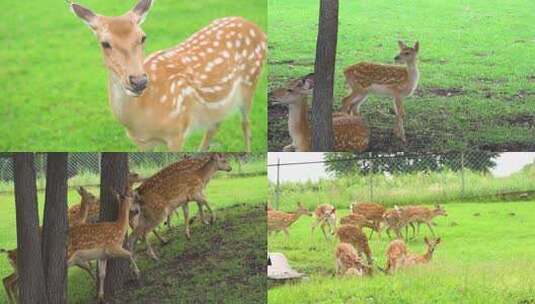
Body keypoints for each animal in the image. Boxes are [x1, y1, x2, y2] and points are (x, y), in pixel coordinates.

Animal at [68, 0, 266, 152]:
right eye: (105, 43)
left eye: (143, 37)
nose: (139, 81)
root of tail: (257, 28)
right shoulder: (142, 142)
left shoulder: (177, 132)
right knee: (214, 125)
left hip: (251, 80)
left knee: (245, 124)